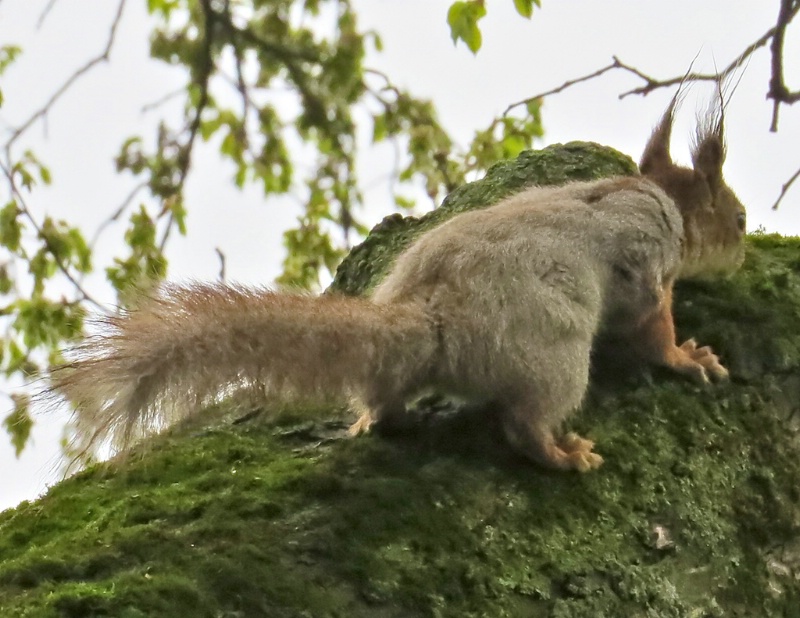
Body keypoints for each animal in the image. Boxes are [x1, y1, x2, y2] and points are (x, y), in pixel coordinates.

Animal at [51, 98, 744, 470]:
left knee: (384, 397)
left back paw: (372, 420)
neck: (658, 197)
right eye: (736, 218)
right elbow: (652, 325)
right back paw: (560, 454)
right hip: (555, 359)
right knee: (524, 423)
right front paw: (687, 357)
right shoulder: (646, 257)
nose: (740, 248)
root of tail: (431, 317)